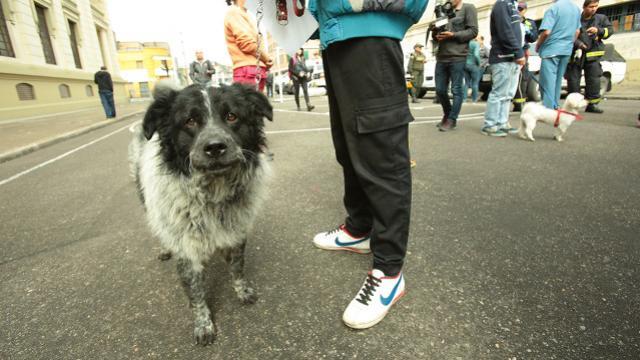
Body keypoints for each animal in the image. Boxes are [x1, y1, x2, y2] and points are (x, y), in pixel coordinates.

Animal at [129, 83, 272, 344]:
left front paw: (242, 291)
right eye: (190, 121)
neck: (211, 194)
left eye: (232, 116)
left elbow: (238, 267)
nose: (214, 147)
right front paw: (204, 324)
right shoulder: (185, 247)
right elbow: (195, 292)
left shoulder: (236, 231)